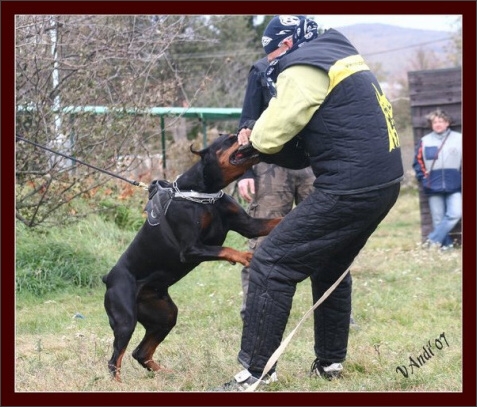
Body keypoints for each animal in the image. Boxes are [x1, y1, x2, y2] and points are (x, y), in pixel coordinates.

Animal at [102, 134, 282, 382]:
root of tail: (108, 278)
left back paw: (167, 374)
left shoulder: (250, 226)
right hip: (125, 318)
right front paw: (245, 256)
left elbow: (275, 221)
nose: (250, 134)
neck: (206, 193)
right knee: (114, 359)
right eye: (230, 140)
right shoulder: (190, 249)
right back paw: (120, 384)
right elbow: (224, 248)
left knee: (140, 352)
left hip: (164, 314)